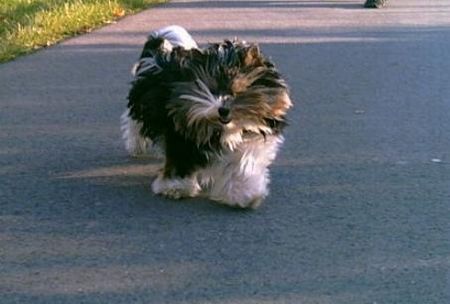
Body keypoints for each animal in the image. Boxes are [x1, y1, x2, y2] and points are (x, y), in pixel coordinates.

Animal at [121, 25, 294, 209]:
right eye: (212, 89)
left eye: (236, 91)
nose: (223, 110)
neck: (223, 129)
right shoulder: (178, 132)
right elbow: (180, 157)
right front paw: (176, 186)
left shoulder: (248, 140)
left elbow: (240, 166)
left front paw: (244, 193)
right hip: (141, 106)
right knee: (134, 125)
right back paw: (136, 146)